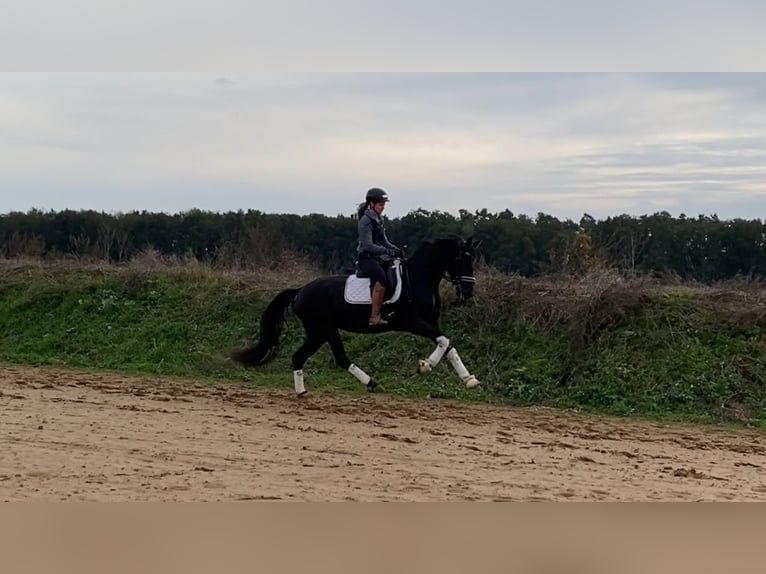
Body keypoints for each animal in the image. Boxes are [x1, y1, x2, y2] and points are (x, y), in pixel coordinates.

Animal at [231, 235, 484, 396]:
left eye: (473, 258)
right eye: (462, 258)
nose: (468, 291)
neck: (418, 278)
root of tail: (300, 290)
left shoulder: (430, 322)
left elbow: (448, 345)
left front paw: (469, 380)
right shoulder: (412, 322)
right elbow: (443, 341)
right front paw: (425, 365)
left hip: (319, 332)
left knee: (301, 356)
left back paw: (303, 391)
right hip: (324, 329)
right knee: (336, 358)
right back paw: (371, 383)